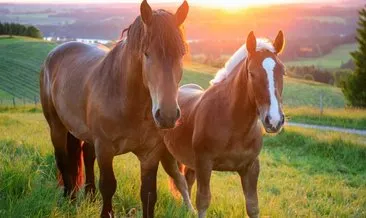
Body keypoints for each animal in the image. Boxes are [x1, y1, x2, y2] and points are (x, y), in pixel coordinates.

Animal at [40, 0, 192, 217]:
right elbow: (108, 185)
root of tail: (57, 51)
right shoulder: (105, 148)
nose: (167, 115)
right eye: (146, 53)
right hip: (57, 127)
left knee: (86, 156)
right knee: (63, 160)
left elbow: (148, 194)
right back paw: (70, 199)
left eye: (182, 53)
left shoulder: (150, 154)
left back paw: (89, 197)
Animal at [164, 31, 288, 218]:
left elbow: (253, 206)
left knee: (187, 181)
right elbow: (203, 201)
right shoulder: (204, 164)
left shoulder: (251, 167)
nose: (274, 120)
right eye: (251, 73)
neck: (233, 124)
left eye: (283, 71)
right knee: (180, 182)